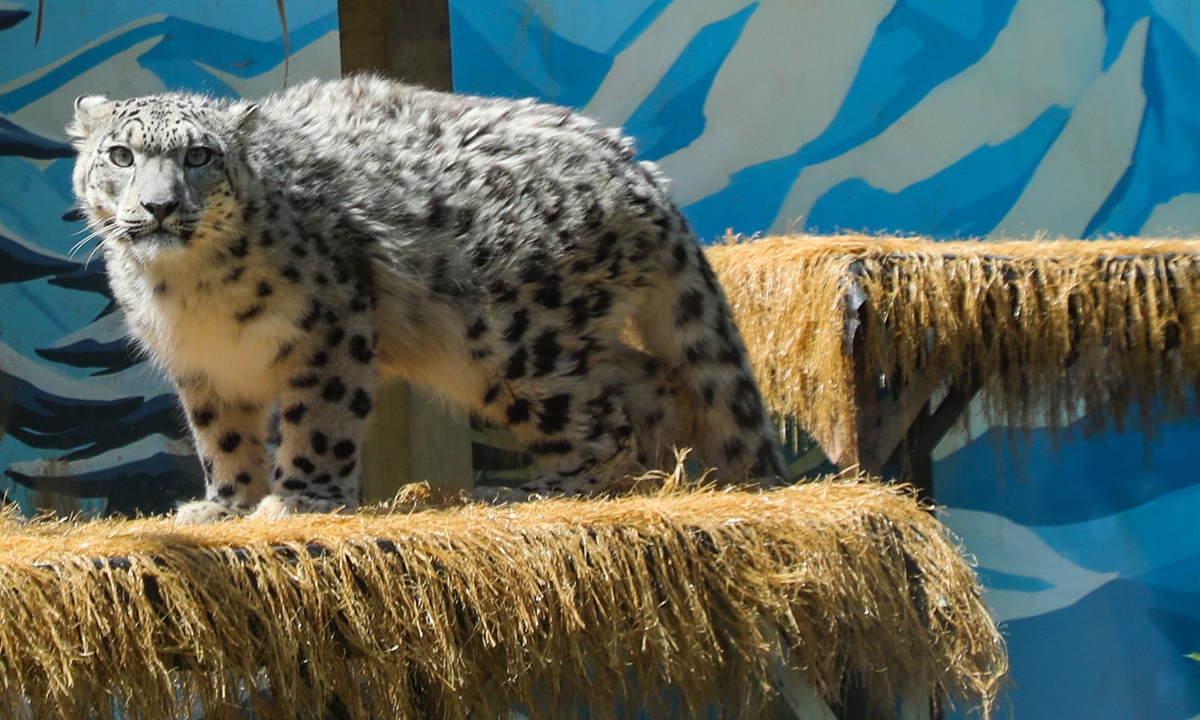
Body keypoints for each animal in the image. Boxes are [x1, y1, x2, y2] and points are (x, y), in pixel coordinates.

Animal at [67, 75, 788, 522]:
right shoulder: (203, 368)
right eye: (121, 155)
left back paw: (538, 489)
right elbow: (220, 436)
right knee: (651, 381)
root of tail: (641, 171)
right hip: (558, 338)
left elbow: (319, 420)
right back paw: (659, 474)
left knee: (600, 418)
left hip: (514, 343)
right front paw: (226, 504)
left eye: (198, 156)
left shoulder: (329, 329)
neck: (188, 293)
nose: (159, 207)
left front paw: (300, 499)